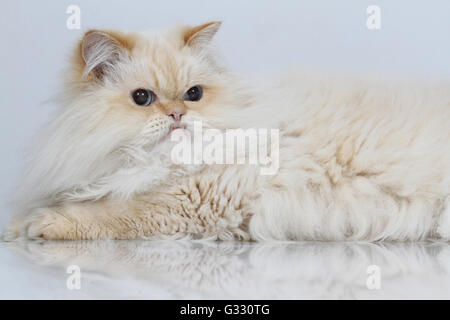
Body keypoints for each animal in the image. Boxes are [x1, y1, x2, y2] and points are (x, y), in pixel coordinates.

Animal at [2, 21, 450, 240]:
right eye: (143, 98)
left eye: (193, 94)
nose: (177, 114)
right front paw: (18, 226)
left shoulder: (191, 201)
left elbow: (112, 214)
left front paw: (40, 225)